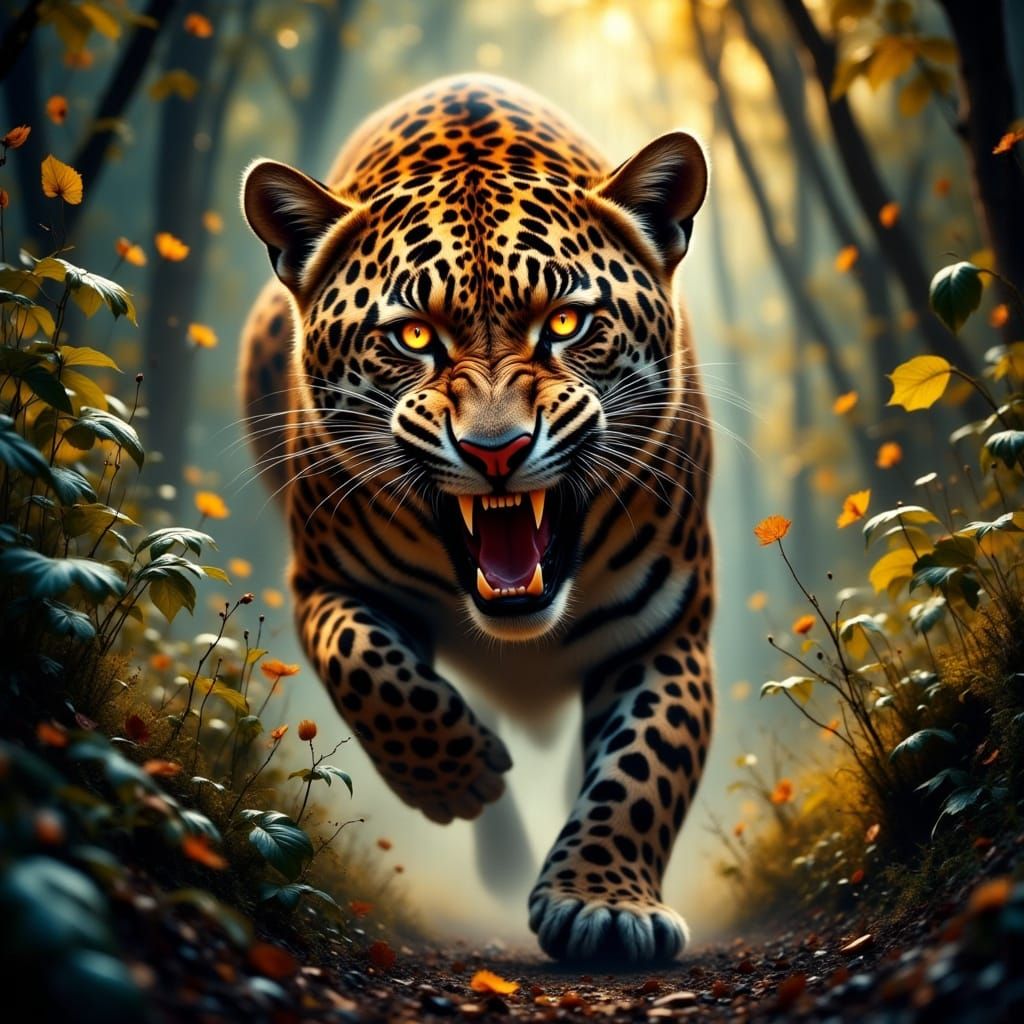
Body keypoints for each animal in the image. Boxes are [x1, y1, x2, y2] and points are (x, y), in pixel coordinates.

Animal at [239, 74, 714, 964]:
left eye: (565, 323)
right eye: (412, 336)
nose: (497, 449)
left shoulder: (667, 627)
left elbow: (647, 762)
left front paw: (604, 904)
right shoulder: (322, 581)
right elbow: (366, 664)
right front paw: (455, 776)